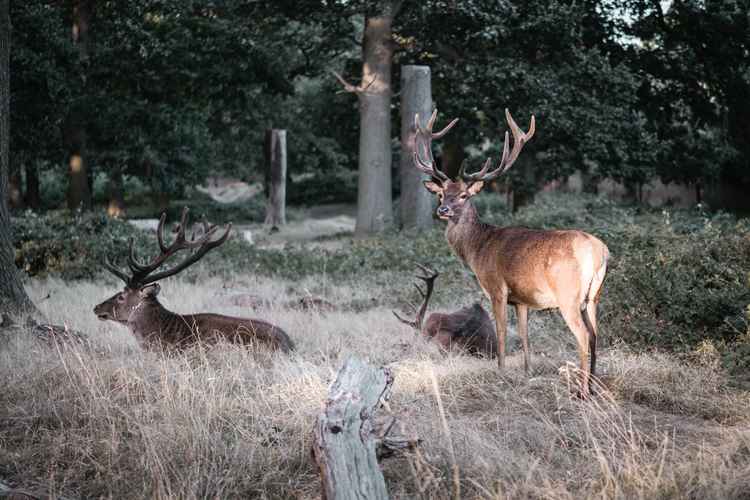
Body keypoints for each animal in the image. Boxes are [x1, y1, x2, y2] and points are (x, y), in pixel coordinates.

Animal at [412, 110, 612, 398]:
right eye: (441, 194)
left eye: (463, 195)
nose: (443, 210)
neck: (478, 248)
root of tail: (600, 253)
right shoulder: (522, 299)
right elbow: (525, 334)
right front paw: (527, 372)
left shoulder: (497, 288)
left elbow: (503, 333)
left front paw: (501, 373)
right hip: (594, 296)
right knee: (596, 335)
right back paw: (594, 386)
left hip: (569, 296)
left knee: (584, 336)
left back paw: (582, 392)